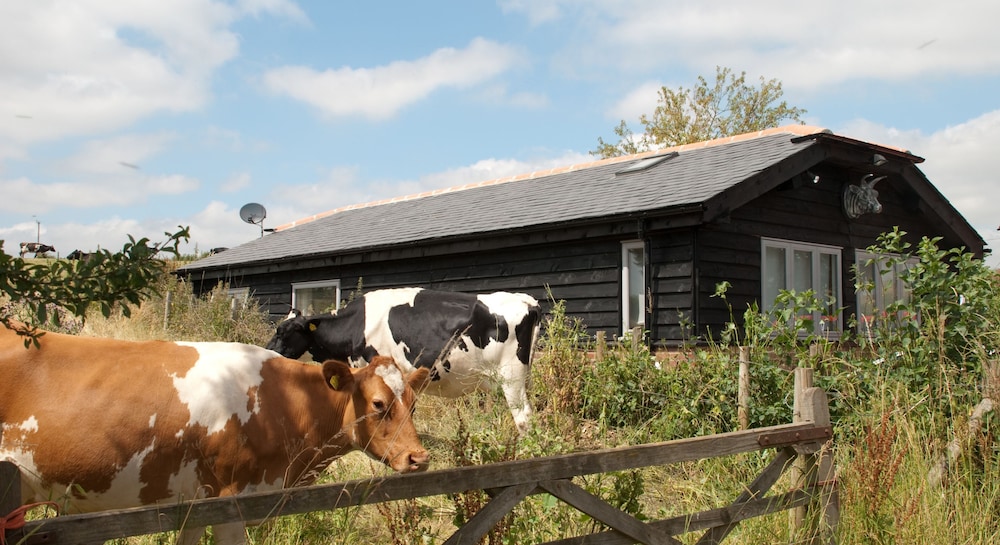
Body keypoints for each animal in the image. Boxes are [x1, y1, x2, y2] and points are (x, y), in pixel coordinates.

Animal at [265, 288, 542, 433]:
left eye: (284, 331)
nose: (267, 351)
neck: (356, 324)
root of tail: (527, 301)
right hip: (522, 377)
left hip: (511, 376)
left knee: (523, 416)